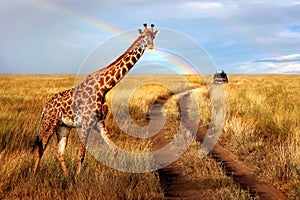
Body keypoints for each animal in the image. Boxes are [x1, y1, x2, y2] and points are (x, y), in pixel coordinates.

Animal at [34, 23, 159, 177]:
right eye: (143, 37)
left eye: (153, 36)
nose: (151, 46)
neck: (104, 87)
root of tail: (45, 107)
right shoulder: (86, 123)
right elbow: (81, 155)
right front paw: (78, 178)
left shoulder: (99, 122)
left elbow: (114, 149)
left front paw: (109, 174)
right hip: (49, 123)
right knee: (40, 148)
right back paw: (34, 175)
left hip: (63, 127)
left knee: (59, 153)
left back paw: (67, 177)